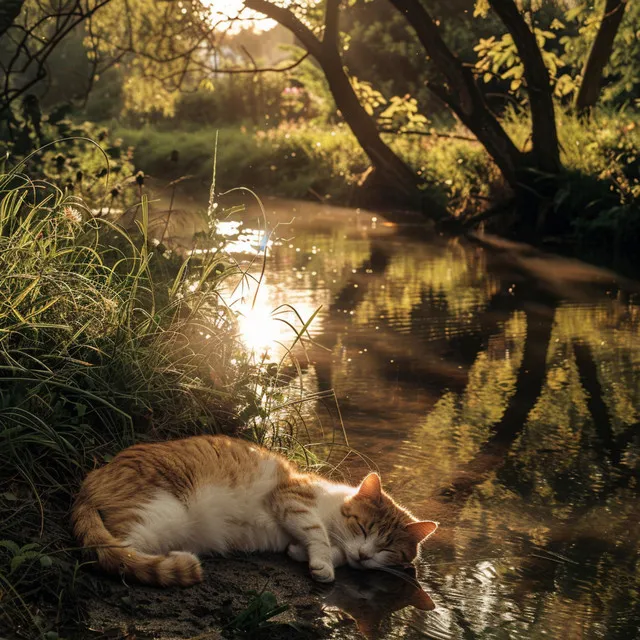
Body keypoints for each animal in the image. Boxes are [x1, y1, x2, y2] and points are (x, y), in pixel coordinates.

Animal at [72, 432, 438, 588]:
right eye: (363, 528)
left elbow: (324, 549)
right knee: (117, 554)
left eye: (388, 548)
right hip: (161, 513)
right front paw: (321, 562)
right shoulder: (291, 497)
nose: (364, 555)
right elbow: (317, 532)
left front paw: (304, 555)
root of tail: (88, 482)